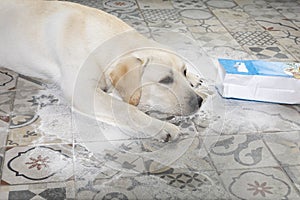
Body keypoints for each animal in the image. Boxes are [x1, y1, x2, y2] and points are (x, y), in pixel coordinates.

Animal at [0, 1, 203, 142]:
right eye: (165, 80)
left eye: (184, 71)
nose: (200, 101)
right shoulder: (82, 91)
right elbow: (126, 109)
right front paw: (162, 127)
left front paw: (194, 78)